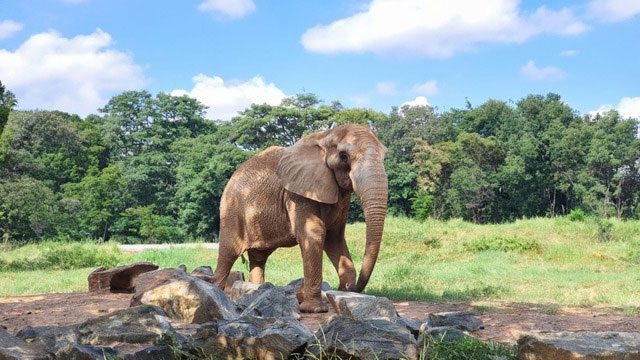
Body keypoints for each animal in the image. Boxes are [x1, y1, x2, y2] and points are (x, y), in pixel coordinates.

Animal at [212, 123, 388, 312]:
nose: (348, 289)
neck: (326, 135)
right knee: (228, 253)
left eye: (384, 156)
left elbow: (335, 238)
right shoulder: (298, 194)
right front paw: (314, 309)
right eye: (343, 156)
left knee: (258, 258)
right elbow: (315, 233)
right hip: (231, 209)